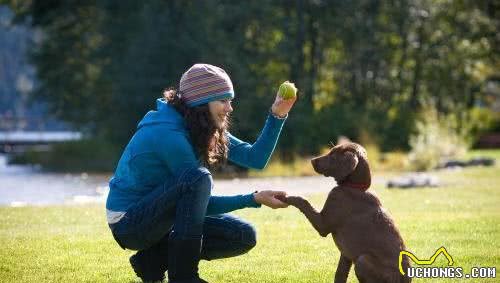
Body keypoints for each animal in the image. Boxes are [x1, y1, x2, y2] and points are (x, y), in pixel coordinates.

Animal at [282, 144, 410, 283]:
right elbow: (340, 274)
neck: (355, 186)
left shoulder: (323, 224)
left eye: (333, 155)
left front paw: (286, 197)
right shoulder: (346, 254)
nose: (312, 160)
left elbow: (303, 201)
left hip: (362, 260)